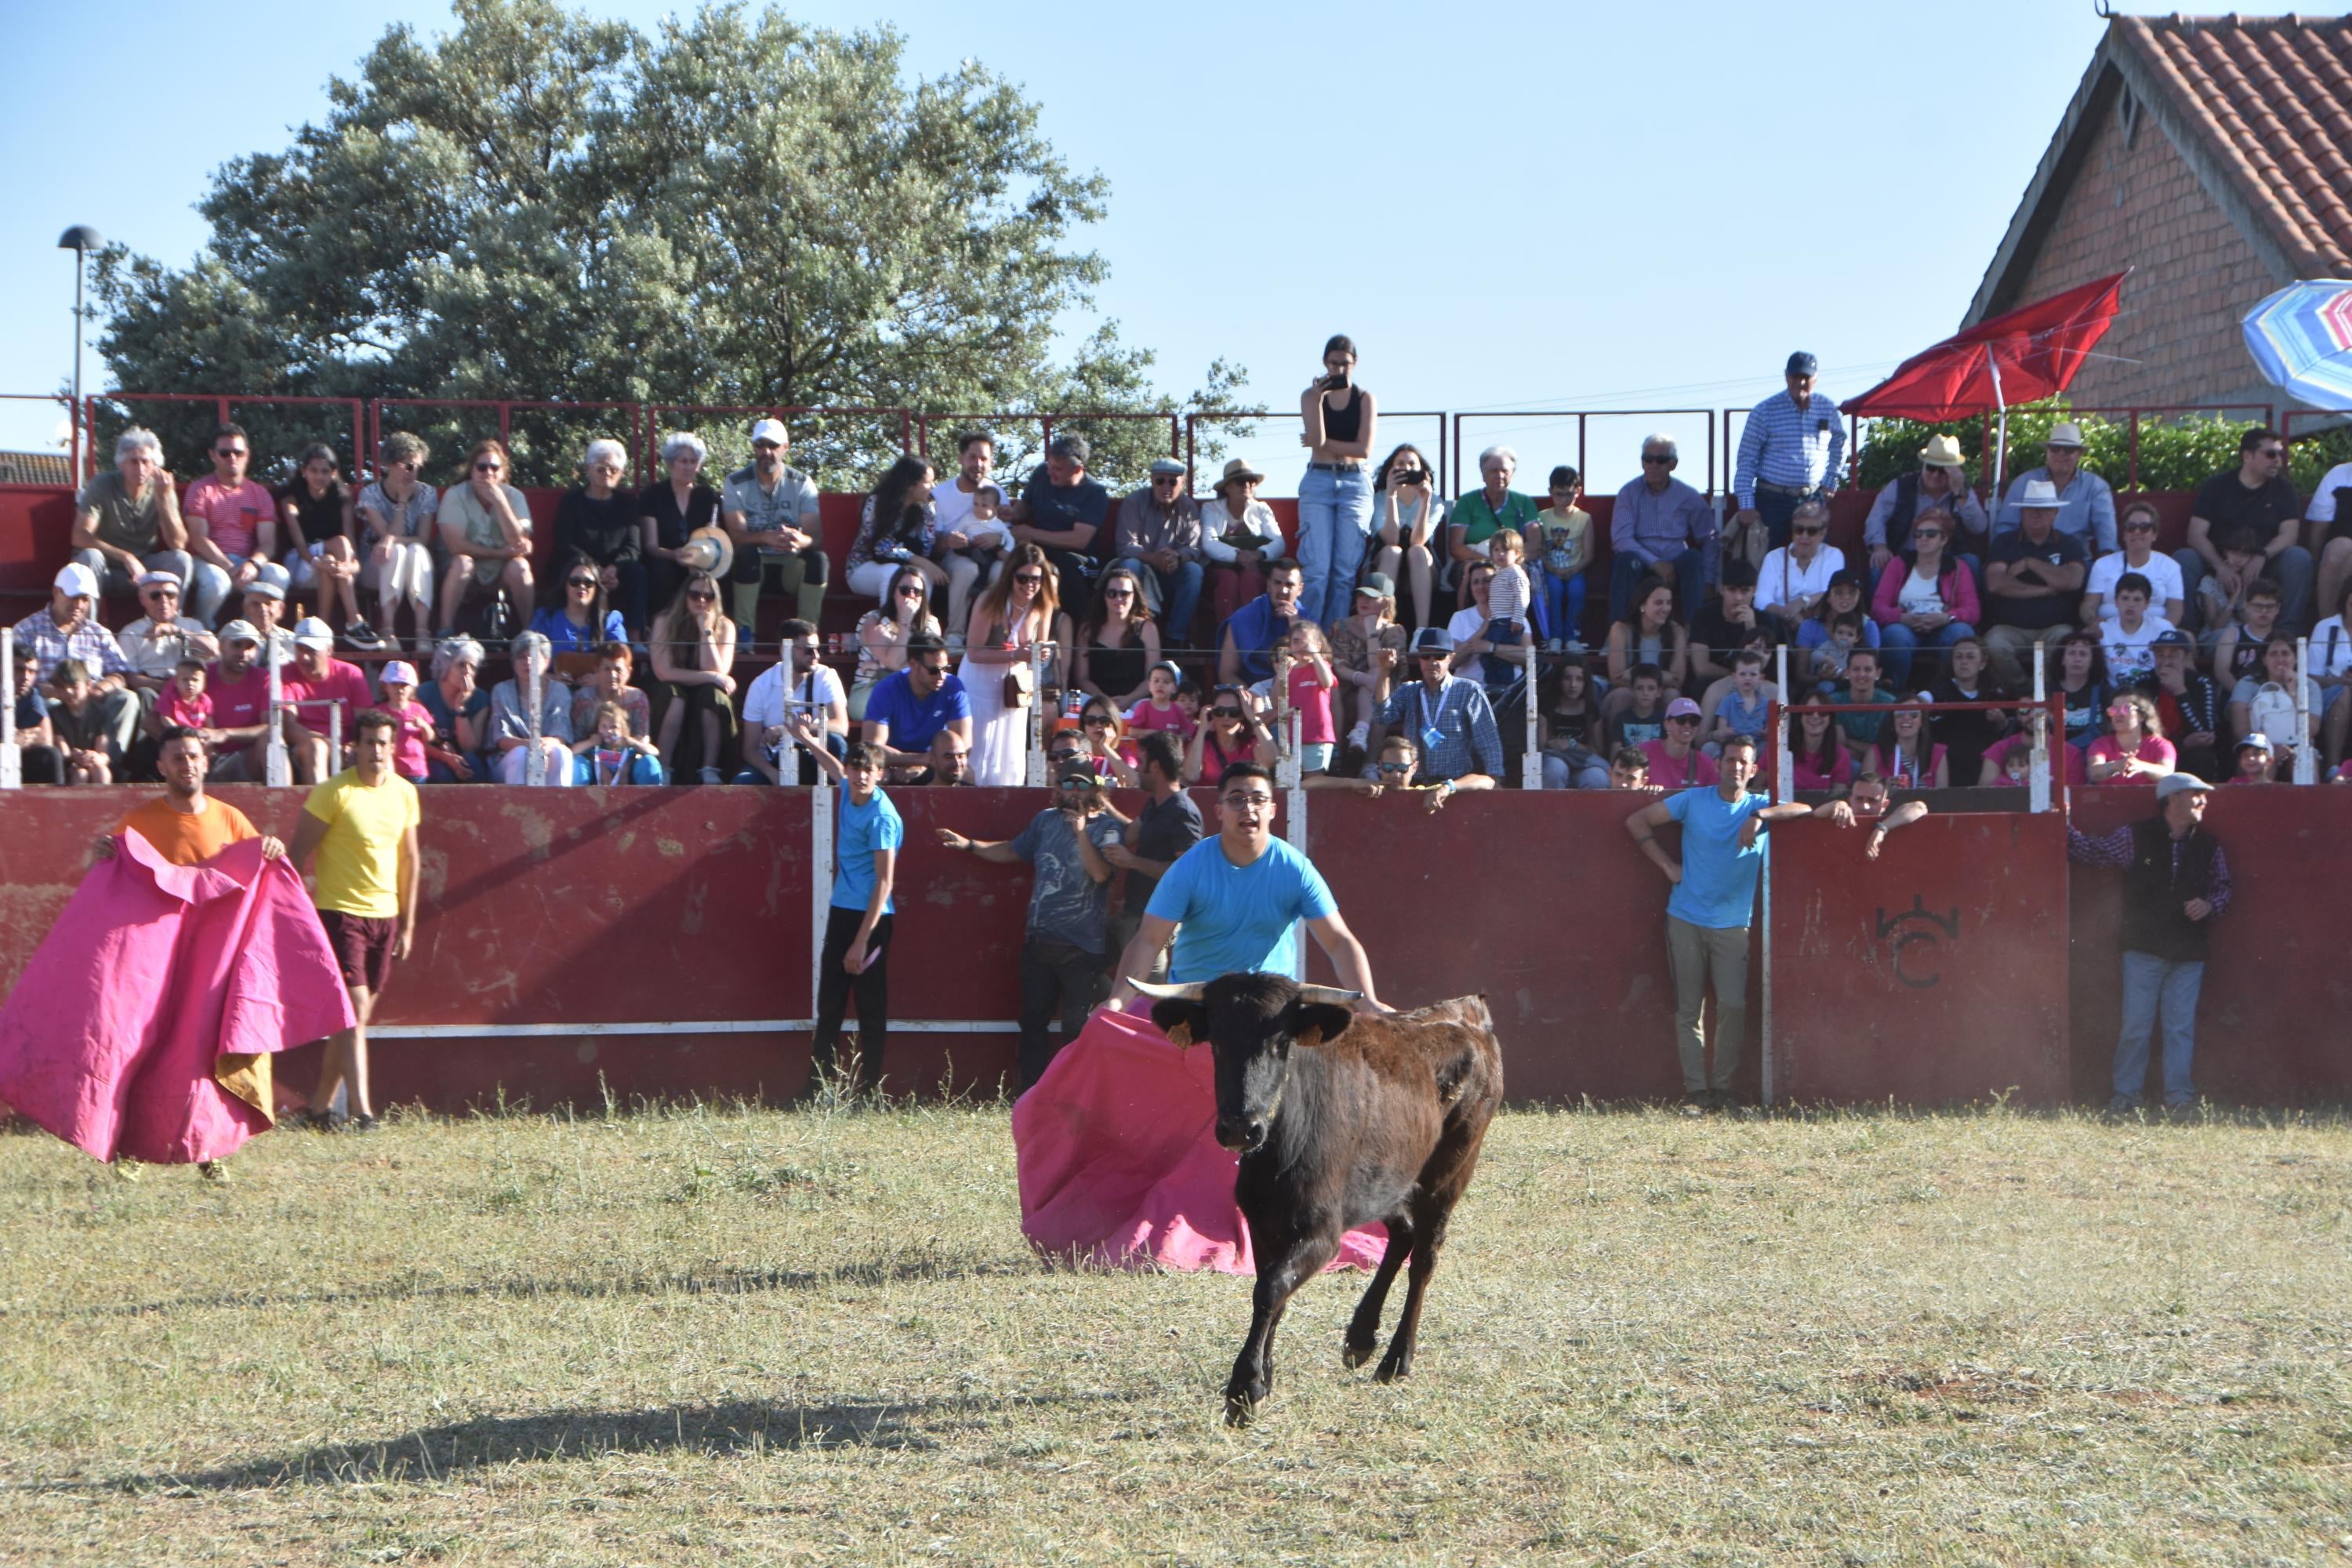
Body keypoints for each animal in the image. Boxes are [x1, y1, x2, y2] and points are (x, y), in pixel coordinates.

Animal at [1138, 968, 1505, 1420]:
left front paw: (1245, 1389)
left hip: (1449, 1174)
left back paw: (1396, 1360)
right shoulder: (1263, 1225)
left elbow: (1271, 1288)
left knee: (1425, 1256)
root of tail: (1470, 1013)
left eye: (1281, 1043)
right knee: (1402, 1233)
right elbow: (1271, 1289)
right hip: (1384, 1181)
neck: (1281, 1146)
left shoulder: (1322, 1233)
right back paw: (1361, 1339)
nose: (1241, 1129)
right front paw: (1264, 1378)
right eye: (1218, 1043)